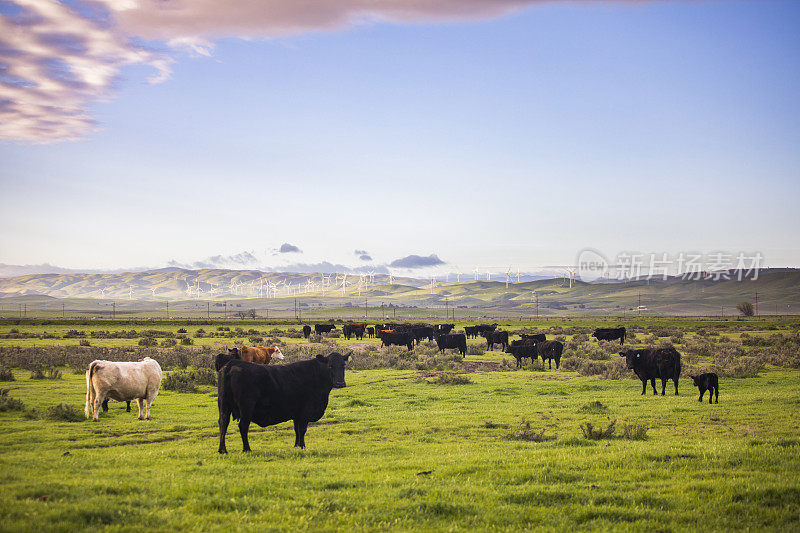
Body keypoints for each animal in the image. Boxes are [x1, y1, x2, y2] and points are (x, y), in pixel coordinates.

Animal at [216, 352, 350, 450]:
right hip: (246, 407)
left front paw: (296, 446)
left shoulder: (297, 413)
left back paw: (222, 450)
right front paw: (302, 446)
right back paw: (247, 449)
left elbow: (296, 429)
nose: (340, 383)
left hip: (223, 405)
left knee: (223, 423)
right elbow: (302, 429)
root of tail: (231, 364)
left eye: (343, 365)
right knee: (243, 426)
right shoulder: (305, 412)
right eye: (330, 366)